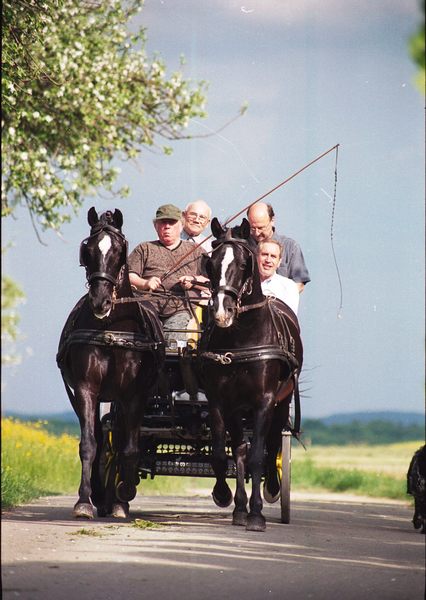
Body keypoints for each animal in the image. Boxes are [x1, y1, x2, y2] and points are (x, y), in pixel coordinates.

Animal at [56, 209, 163, 516]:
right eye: (88, 250)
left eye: (118, 251)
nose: (100, 301)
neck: (112, 329)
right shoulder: (85, 388)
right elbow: (89, 443)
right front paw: (84, 501)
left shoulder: (134, 394)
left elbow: (129, 448)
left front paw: (123, 495)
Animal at [200, 218, 302, 532]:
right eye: (210, 263)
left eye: (245, 263)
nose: (221, 311)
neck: (242, 339)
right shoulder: (221, 401)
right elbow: (225, 454)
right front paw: (226, 498)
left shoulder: (264, 402)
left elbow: (259, 455)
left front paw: (256, 514)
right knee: (241, 449)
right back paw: (240, 507)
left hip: (281, 404)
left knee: (271, 443)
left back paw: (271, 488)